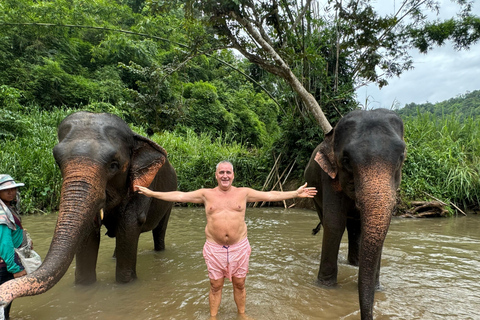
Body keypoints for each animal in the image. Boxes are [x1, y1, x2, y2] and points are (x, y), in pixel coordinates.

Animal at [0, 112, 178, 308]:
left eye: (114, 165)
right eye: (58, 162)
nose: (4, 298)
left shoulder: (142, 187)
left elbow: (129, 226)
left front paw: (126, 284)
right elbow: (88, 233)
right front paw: (85, 288)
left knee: (159, 231)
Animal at [304, 109, 404, 318]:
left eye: (401, 157)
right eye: (346, 160)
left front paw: (377, 288)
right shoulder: (329, 177)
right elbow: (335, 223)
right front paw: (326, 287)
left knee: (356, 228)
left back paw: (355, 264)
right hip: (314, 192)